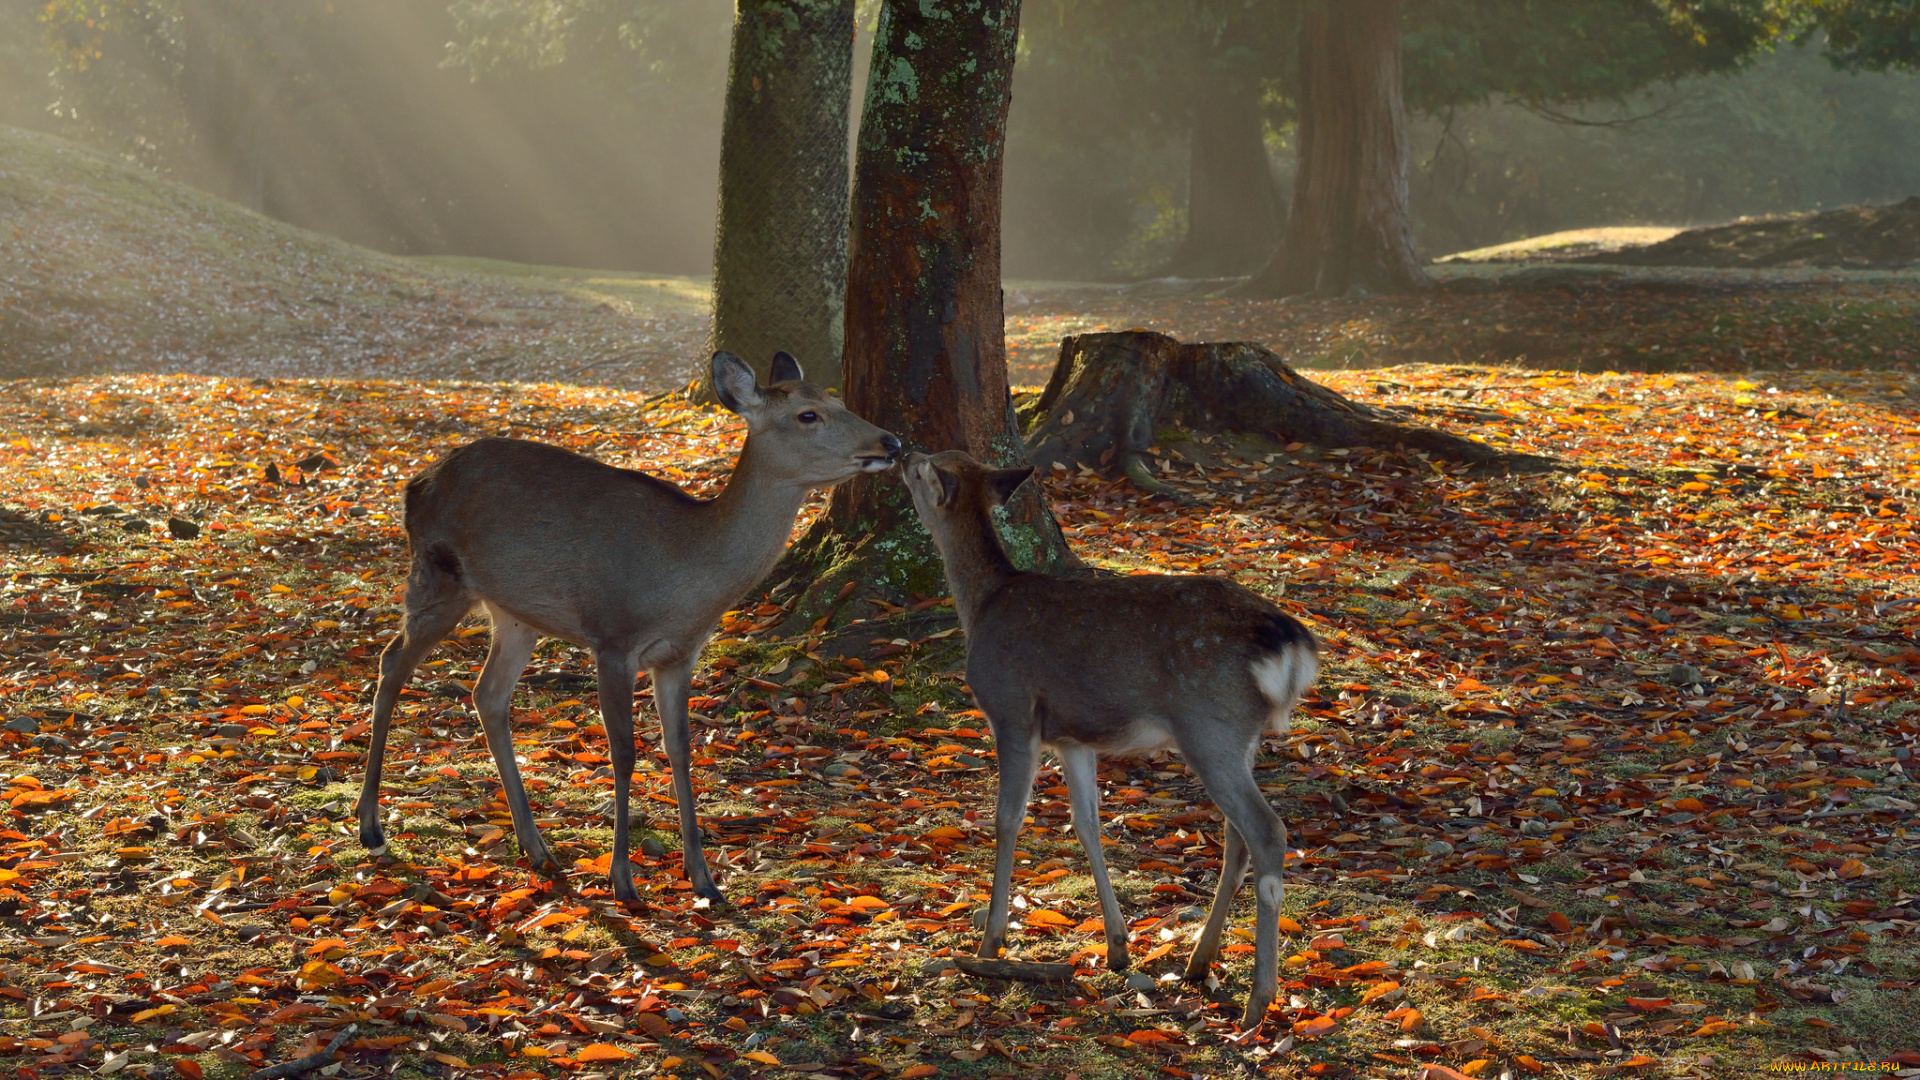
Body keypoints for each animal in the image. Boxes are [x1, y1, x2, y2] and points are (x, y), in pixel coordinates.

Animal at [359, 353, 898, 899]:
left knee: (486, 693)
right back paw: (370, 826)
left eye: (837, 398)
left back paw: (537, 848)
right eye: (808, 414)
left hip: (515, 613)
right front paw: (622, 878)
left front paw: (704, 878)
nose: (890, 442)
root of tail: (413, 485)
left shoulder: (680, 654)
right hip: (437, 574)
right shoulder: (613, 637)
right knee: (391, 662)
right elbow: (623, 753)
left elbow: (679, 749)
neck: (686, 579)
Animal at [898, 449, 1320, 1022]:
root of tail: (1290, 642)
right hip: (1239, 736)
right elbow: (1087, 823)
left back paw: (1259, 998)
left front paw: (989, 943)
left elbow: (1007, 818)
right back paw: (1199, 961)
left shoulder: (1012, 709)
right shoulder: (1074, 738)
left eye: (926, 468)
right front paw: (1118, 946)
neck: (982, 605)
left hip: (1209, 725)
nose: (900, 452)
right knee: (1238, 837)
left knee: (1267, 830)